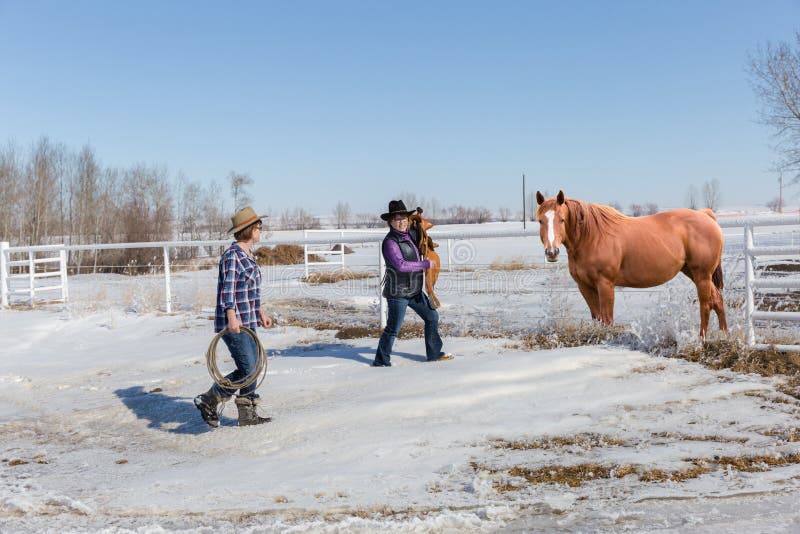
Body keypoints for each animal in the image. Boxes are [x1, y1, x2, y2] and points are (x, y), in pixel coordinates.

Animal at [536, 191, 724, 338]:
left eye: (562, 219)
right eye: (540, 221)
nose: (551, 252)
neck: (591, 237)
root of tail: (705, 215)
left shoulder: (605, 285)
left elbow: (607, 320)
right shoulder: (584, 286)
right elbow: (597, 317)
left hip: (702, 275)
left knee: (706, 305)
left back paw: (702, 339)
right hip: (695, 273)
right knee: (717, 300)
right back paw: (723, 336)